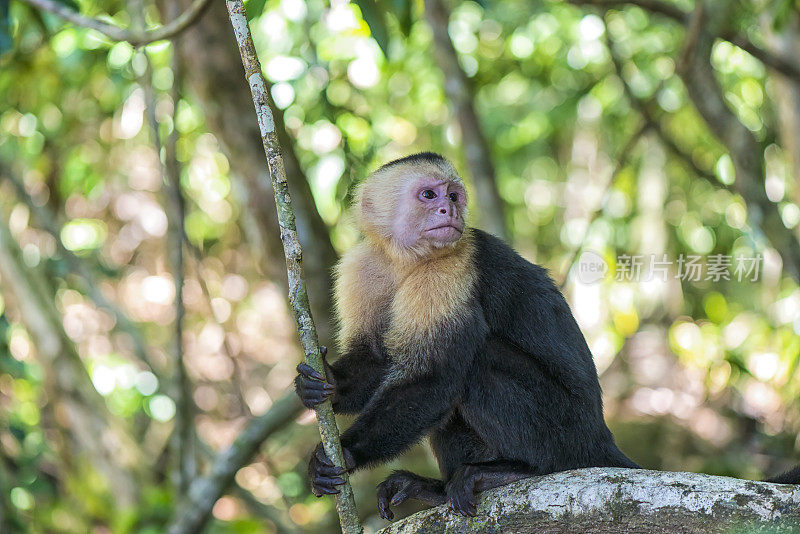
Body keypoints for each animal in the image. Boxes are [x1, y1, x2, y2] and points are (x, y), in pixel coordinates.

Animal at [294, 153, 800, 520]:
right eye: (428, 194)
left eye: (454, 196)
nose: (446, 210)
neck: (407, 260)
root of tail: (599, 436)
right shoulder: (363, 267)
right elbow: (378, 357)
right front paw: (326, 384)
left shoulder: (451, 270)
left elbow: (431, 377)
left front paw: (347, 453)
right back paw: (437, 490)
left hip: (566, 430)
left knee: (474, 364)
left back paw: (517, 471)